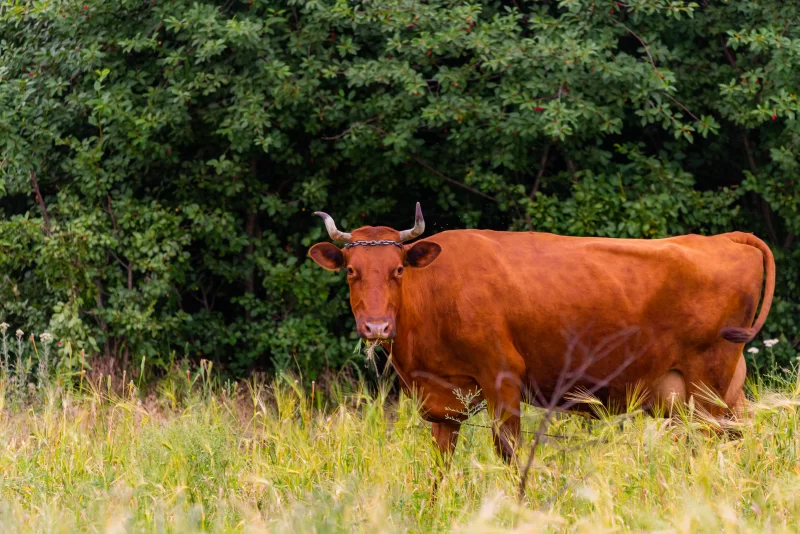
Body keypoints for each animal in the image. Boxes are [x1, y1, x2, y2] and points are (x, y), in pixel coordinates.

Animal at [308, 203, 775, 461]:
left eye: (398, 270)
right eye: (351, 271)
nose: (377, 326)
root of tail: (724, 238)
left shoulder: (502, 377)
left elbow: (508, 451)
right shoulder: (442, 400)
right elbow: (441, 461)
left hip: (710, 383)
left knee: (724, 439)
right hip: (718, 389)